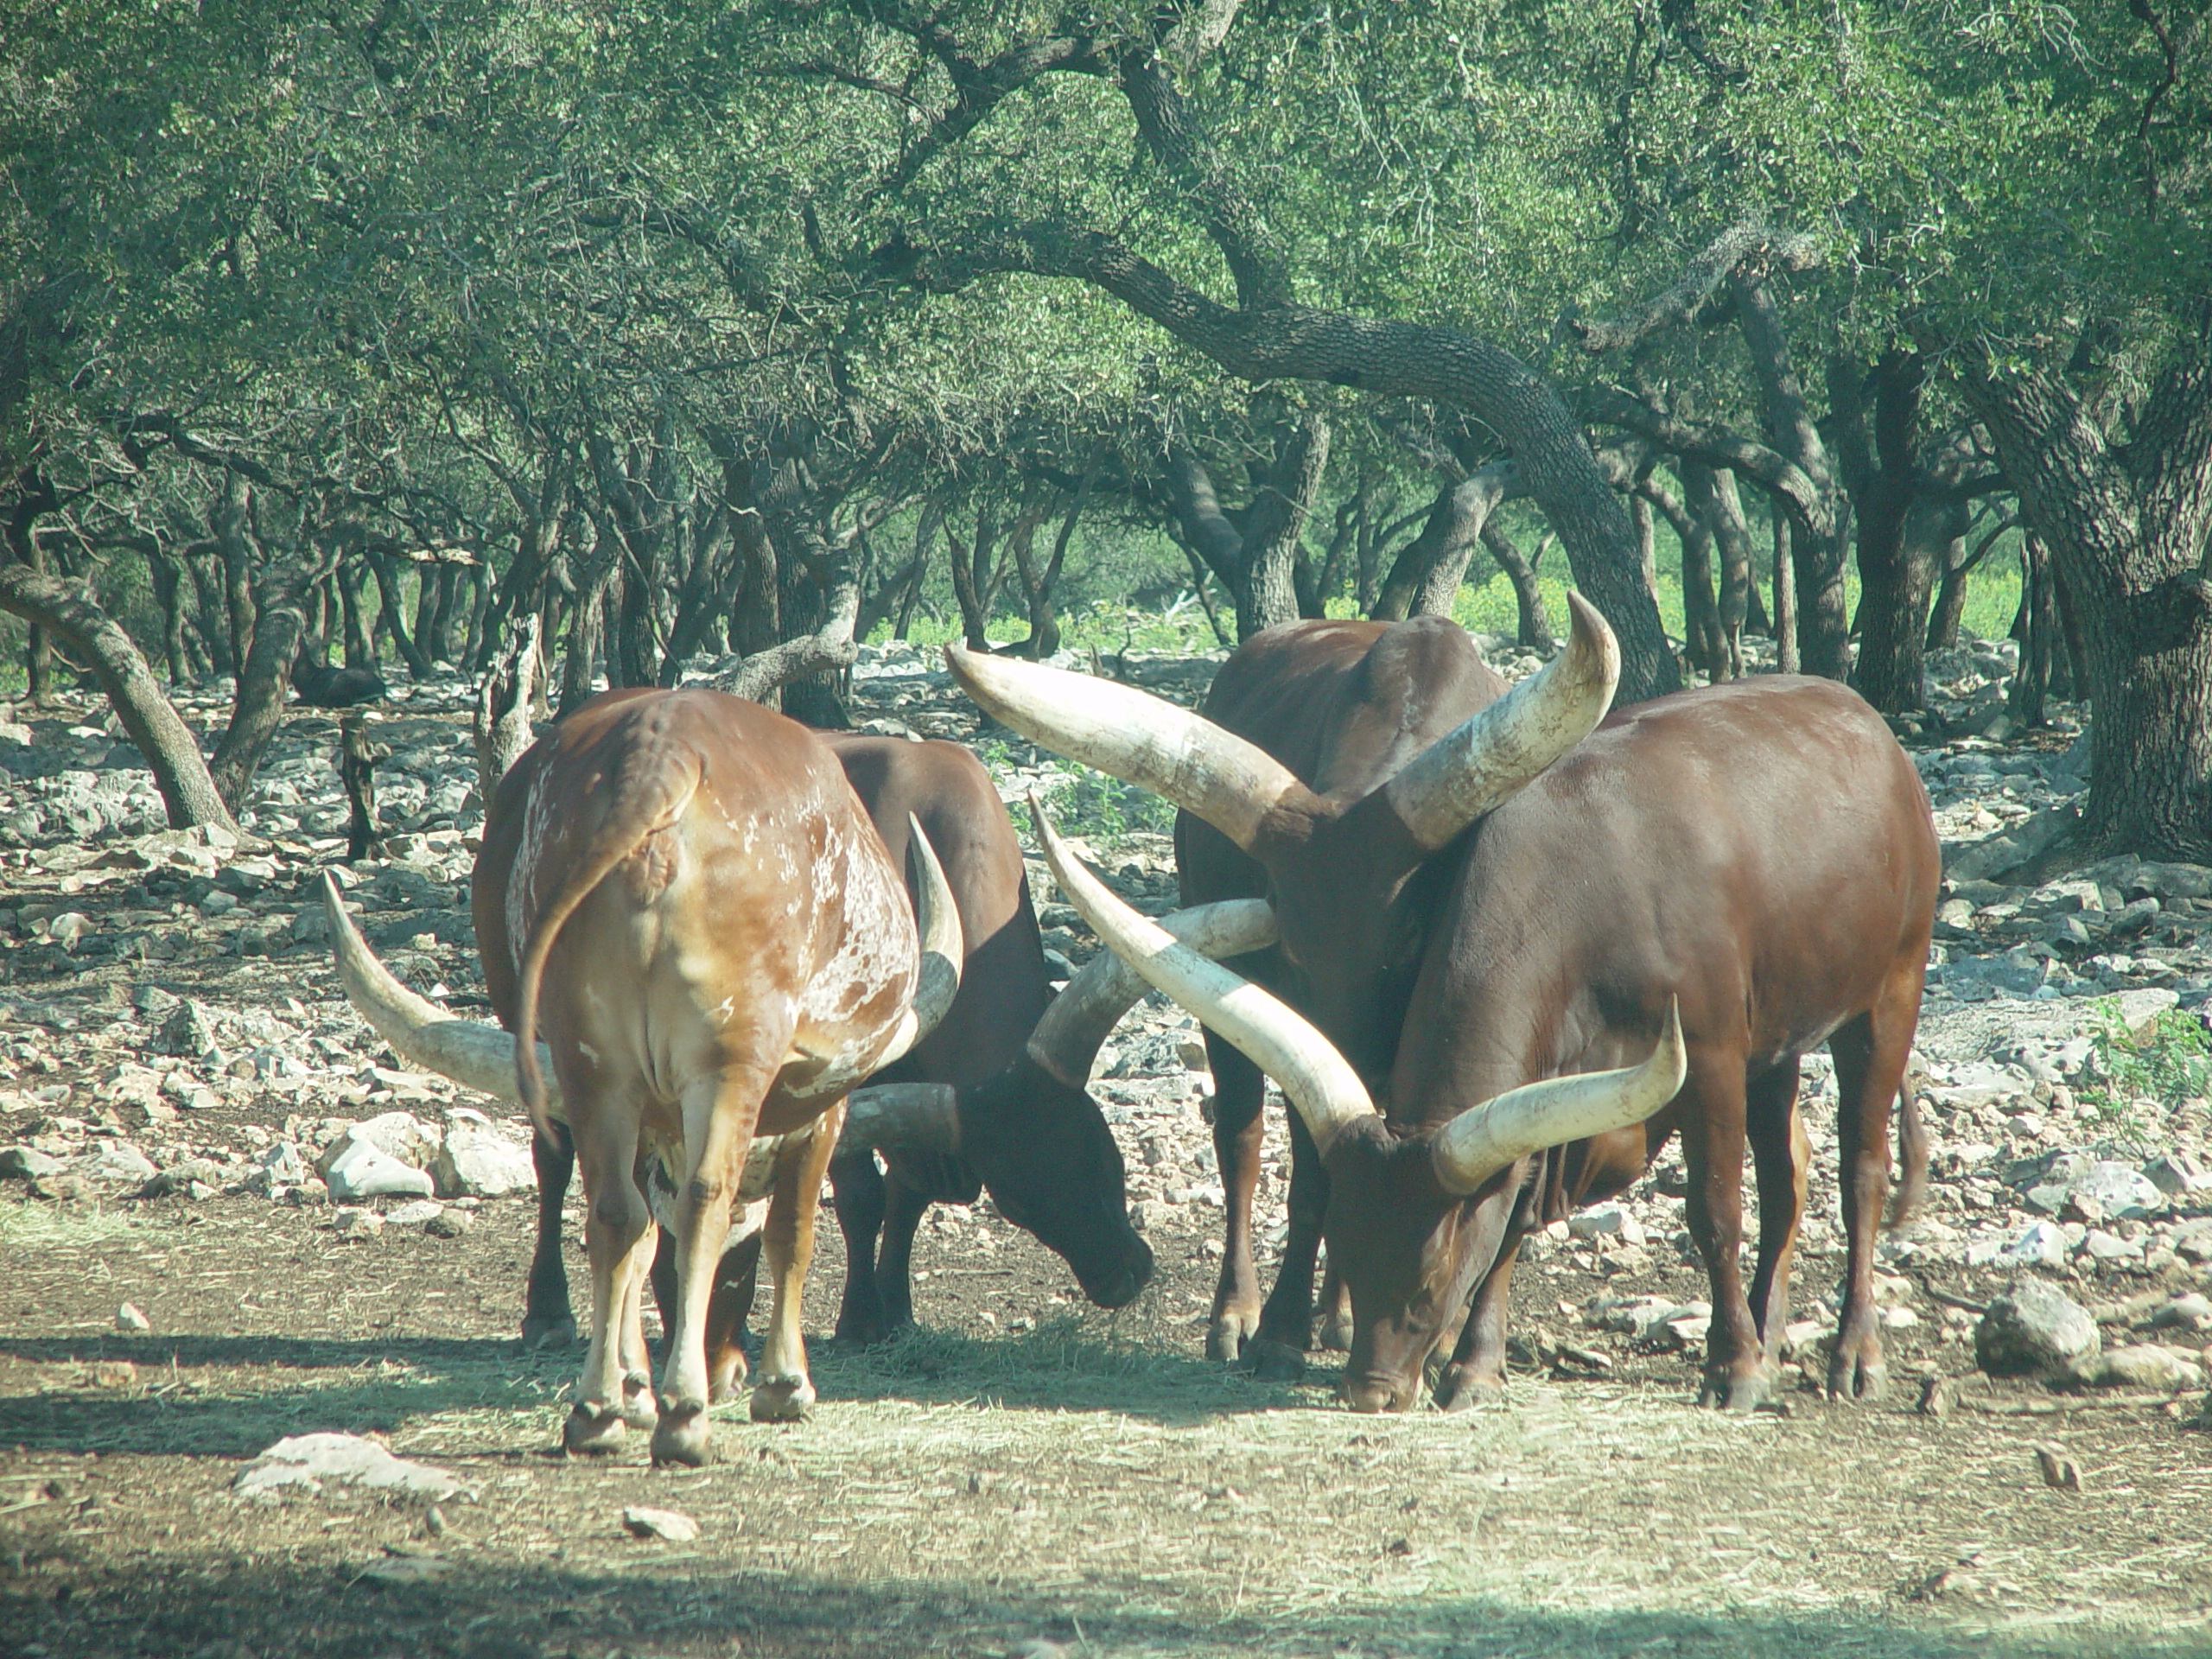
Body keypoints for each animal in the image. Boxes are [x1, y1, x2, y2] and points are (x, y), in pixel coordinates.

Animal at [950, 610, 1937, 1415]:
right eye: (1291, 945)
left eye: (1409, 936)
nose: (1375, 1389)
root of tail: (1874, 732)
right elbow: (1333, 1186)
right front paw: (1293, 1334)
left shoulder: (1705, 1056)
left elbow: (1705, 1207)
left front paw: (1725, 1370)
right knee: (1240, 1139)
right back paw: (1247, 1317)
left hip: (1887, 989)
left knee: (1850, 1166)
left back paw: (1847, 1354)